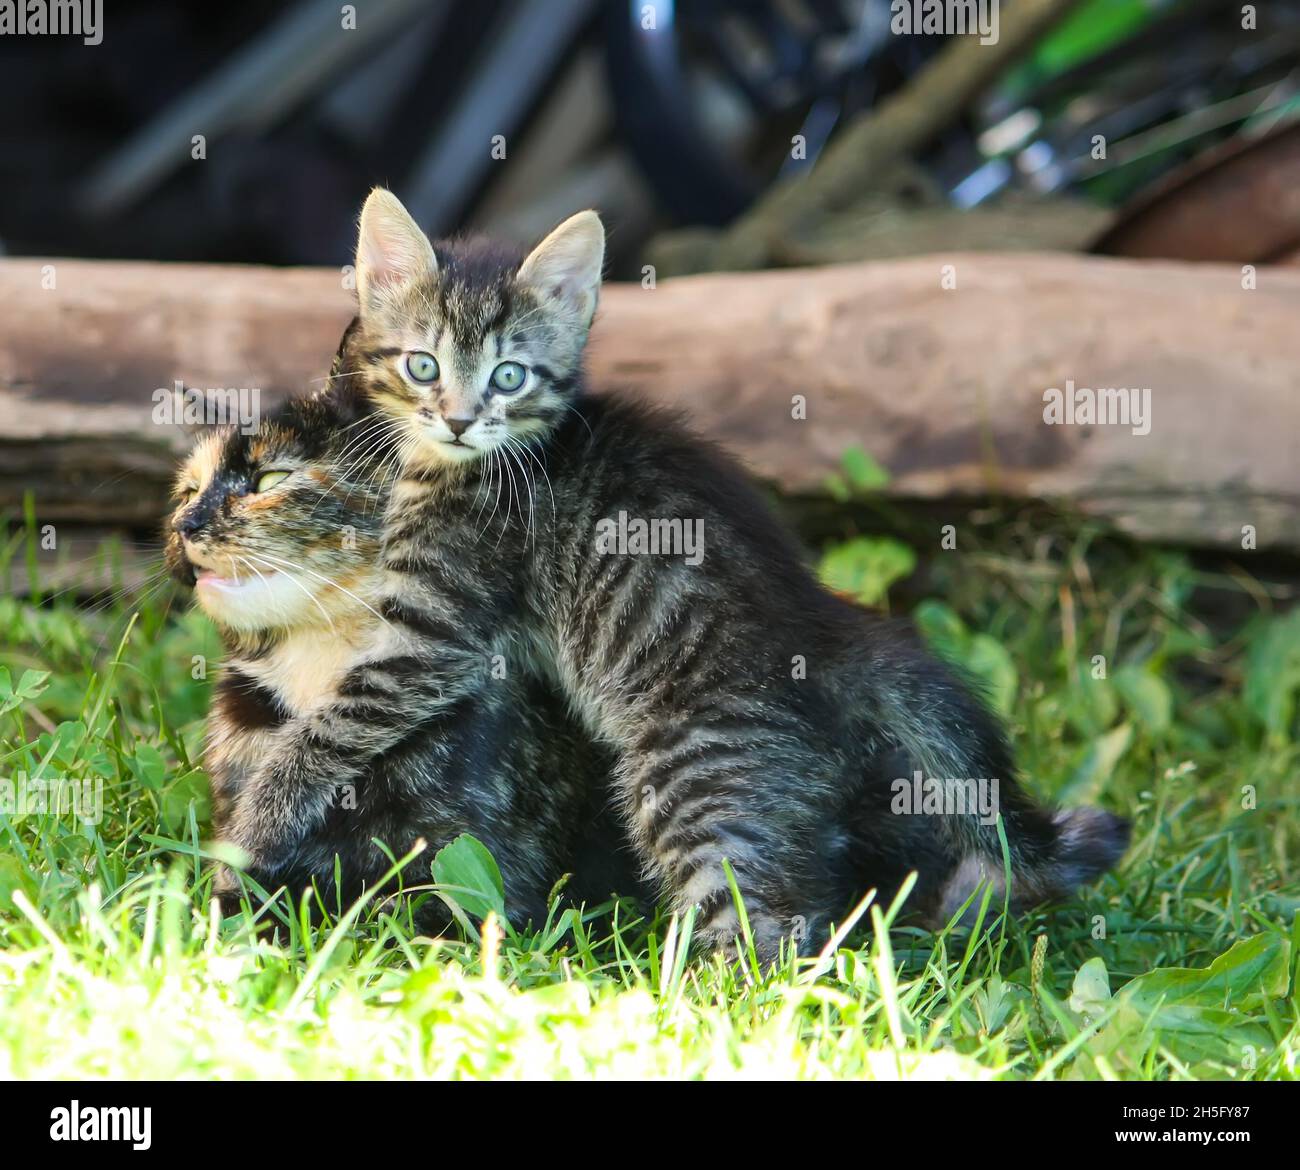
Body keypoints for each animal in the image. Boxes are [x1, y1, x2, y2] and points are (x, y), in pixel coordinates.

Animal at [330, 189, 1133, 961]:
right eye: (423, 365)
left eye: (508, 376)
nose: (459, 420)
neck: (491, 459)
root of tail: (829, 626)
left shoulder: (432, 628)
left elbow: (341, 720)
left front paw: (289, 806)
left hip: (694, 768)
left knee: (758, 924)